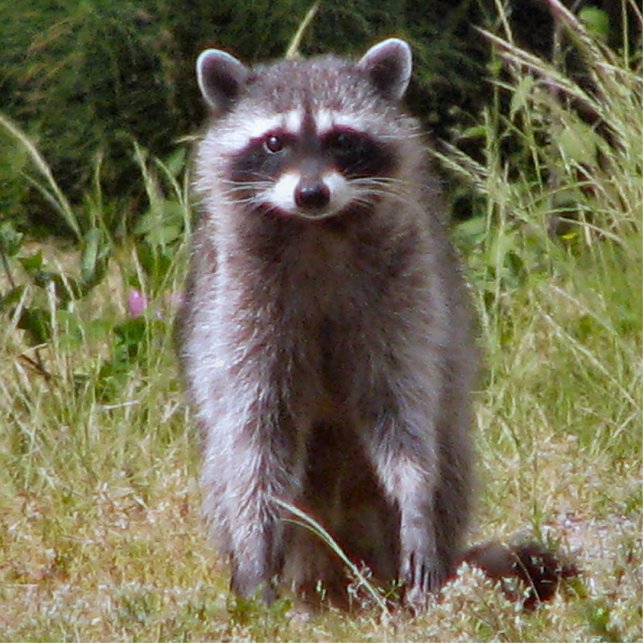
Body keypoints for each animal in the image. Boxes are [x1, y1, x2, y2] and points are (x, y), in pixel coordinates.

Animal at [178, 38, 478, 609]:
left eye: (342, 139)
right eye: (274, 142)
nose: (311, 193)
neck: (316, 230)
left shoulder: (406, 289)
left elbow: (402, 411)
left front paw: (414, 499)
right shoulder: (241, 307)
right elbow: (255, 436)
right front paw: (254, 550)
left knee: (450, 461)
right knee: (225, 469)